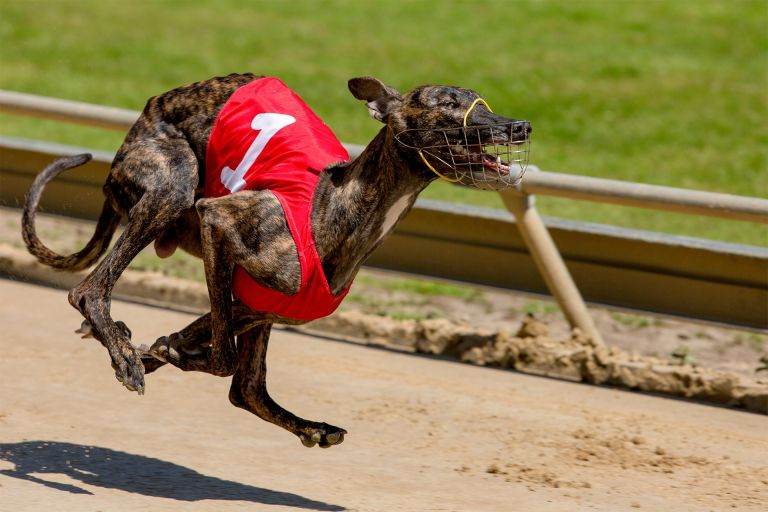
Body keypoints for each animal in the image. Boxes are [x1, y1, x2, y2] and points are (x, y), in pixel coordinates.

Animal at [21, 73, 532, 448]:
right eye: (447, 103)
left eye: (481, 101)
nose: (521, 126)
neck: (337, 202)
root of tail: (150, 110)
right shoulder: (217, 219)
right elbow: (221, 356)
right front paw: (156, 352)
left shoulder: (260, 303)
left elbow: (218, 353)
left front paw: (164, 347)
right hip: (173, 186)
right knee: (89, 289)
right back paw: (124, 354)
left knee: (246, 387)